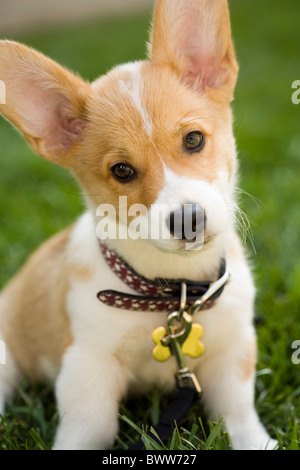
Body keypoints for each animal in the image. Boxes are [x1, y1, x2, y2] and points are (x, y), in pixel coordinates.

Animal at [0, 0, 276, 450]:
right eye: (122, 170)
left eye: (194, 139)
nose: (189, 220)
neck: (170, 293)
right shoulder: (87, 366)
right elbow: (90, 428)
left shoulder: (232, 350)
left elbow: (239, 414)